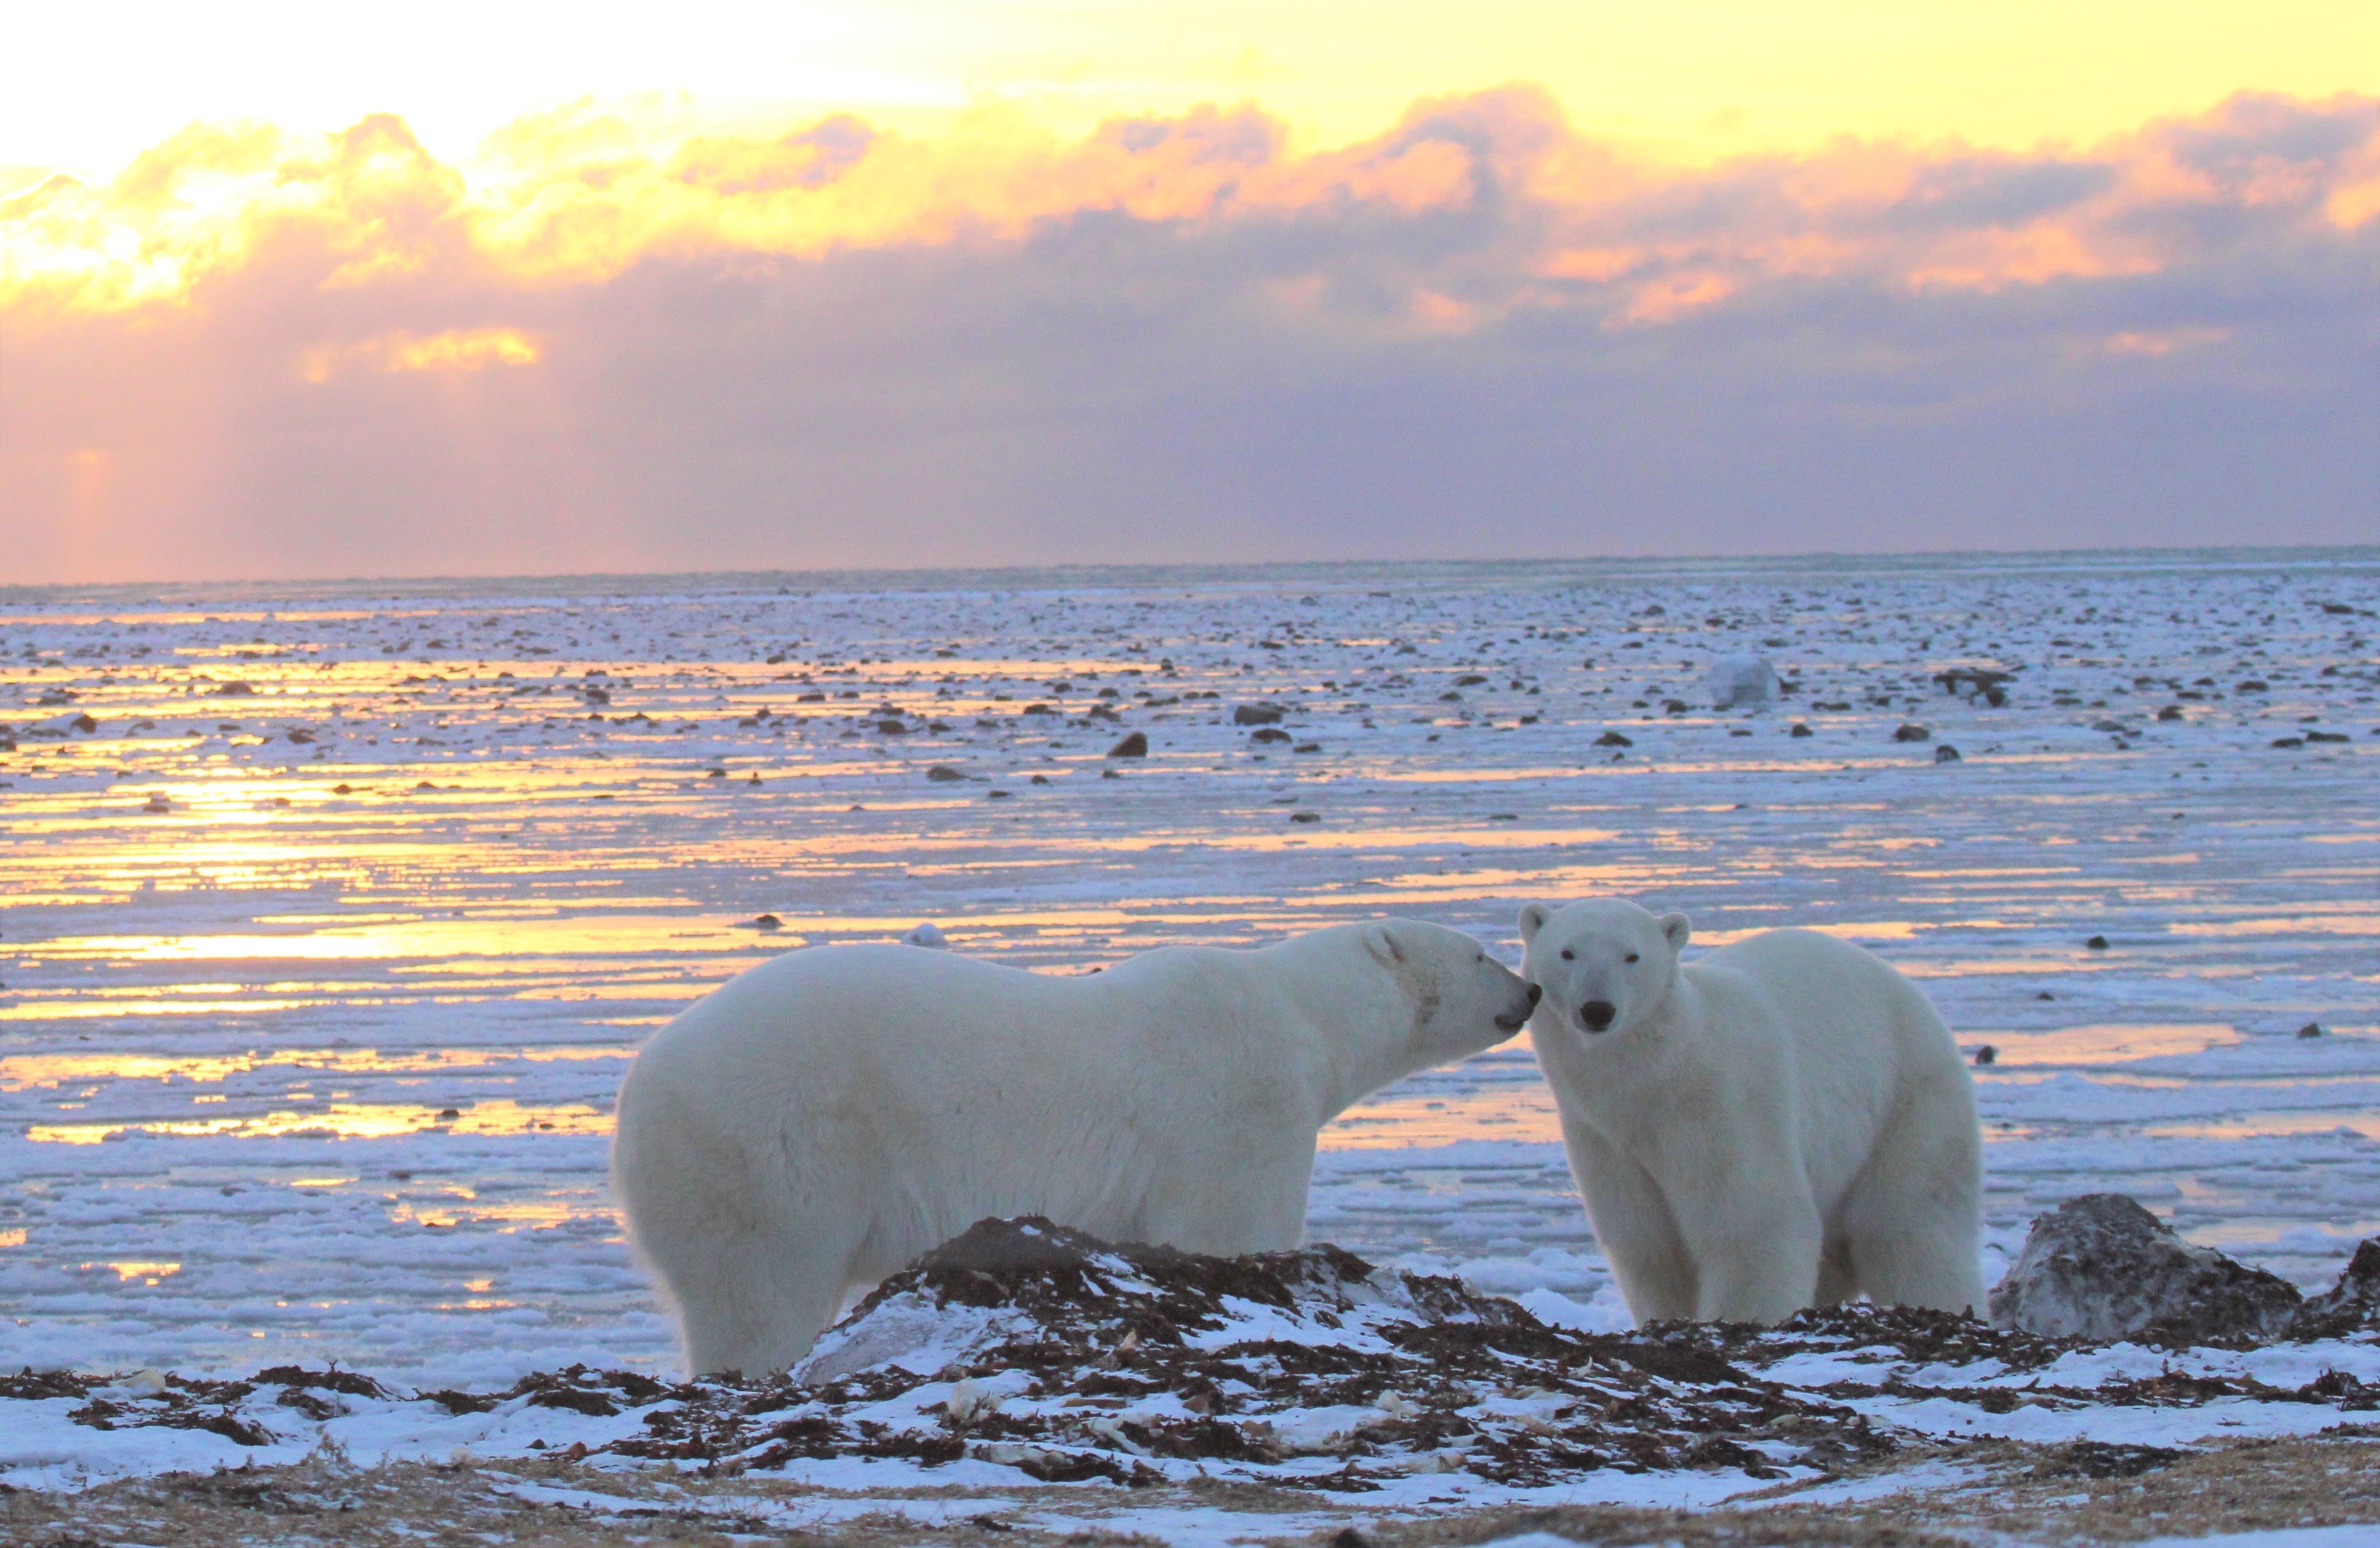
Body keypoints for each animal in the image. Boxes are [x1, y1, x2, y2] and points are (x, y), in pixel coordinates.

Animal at [618, 913, 1542, 1379]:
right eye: (1481, 952)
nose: (1532, 990)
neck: (1301, 1013)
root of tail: (636, 1096)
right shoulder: (1239, 1103)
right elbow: (1228, 1232)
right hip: (770, 1152)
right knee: (759, 1296)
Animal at [1523, 903, 1989, 1322]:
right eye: (1567, 952)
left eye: (1632, 956)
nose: (1597, 1009)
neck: (1659, 1079)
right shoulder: (1602, 1137)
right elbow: (1648, 1244)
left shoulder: (1723, 1104)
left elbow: (1753, 1223)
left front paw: (1739, 1318)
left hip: (1908, 1103)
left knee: (1909, 1229)